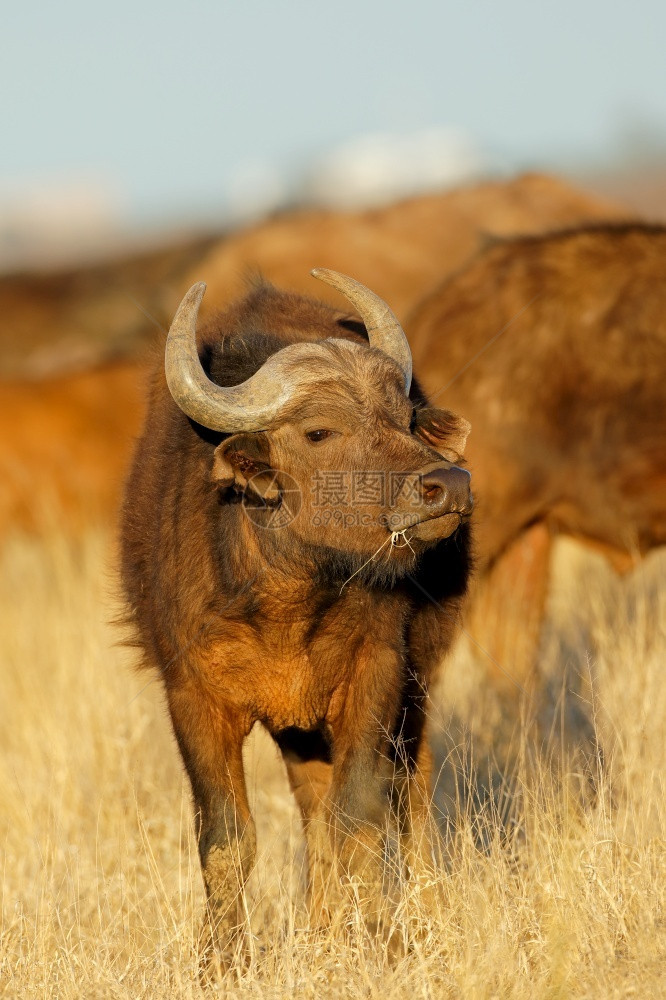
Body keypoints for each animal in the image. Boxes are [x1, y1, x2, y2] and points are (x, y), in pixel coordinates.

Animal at [119, 270, 472, 964]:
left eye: (404, 418)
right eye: (318, 432)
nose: (447, 485)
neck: (289, 598)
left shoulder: (379, 671)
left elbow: (360, 816)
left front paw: (377, 939)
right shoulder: (193, 696)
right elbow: (227, 837)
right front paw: (222, 962)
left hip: (412, 691)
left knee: (405, 797)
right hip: (299, 729)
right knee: (313, 809)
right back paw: (320, 926)